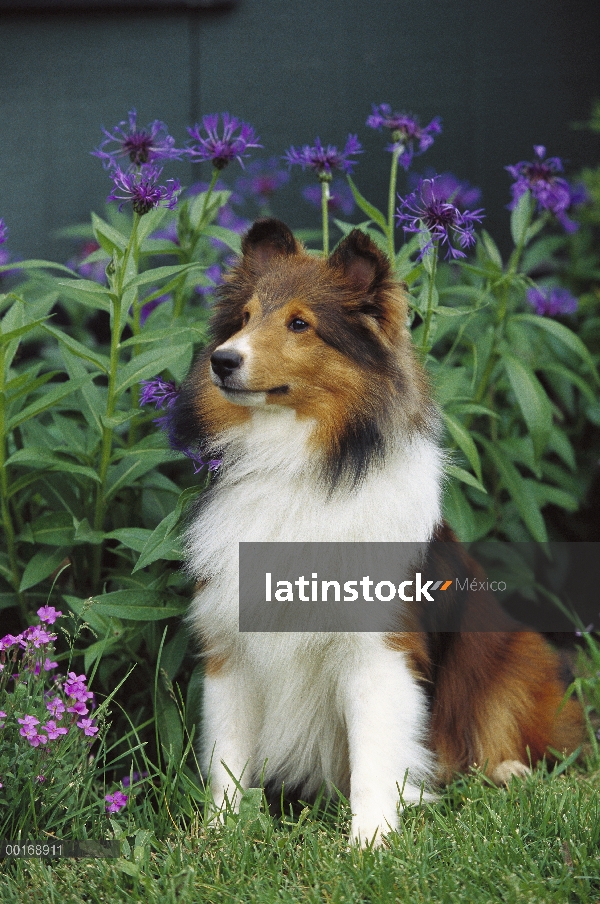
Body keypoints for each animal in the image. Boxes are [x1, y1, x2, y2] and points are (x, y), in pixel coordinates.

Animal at [171, 219, 584, 848]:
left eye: (299, 324)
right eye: (243, 317)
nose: (222, 360)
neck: (300, 468)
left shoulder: (378, 653)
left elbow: (374, 756)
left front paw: (369, 844)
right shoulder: (231, 649)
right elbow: (226, 757)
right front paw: (218, 839)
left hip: (516, 654)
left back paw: (510, 774)